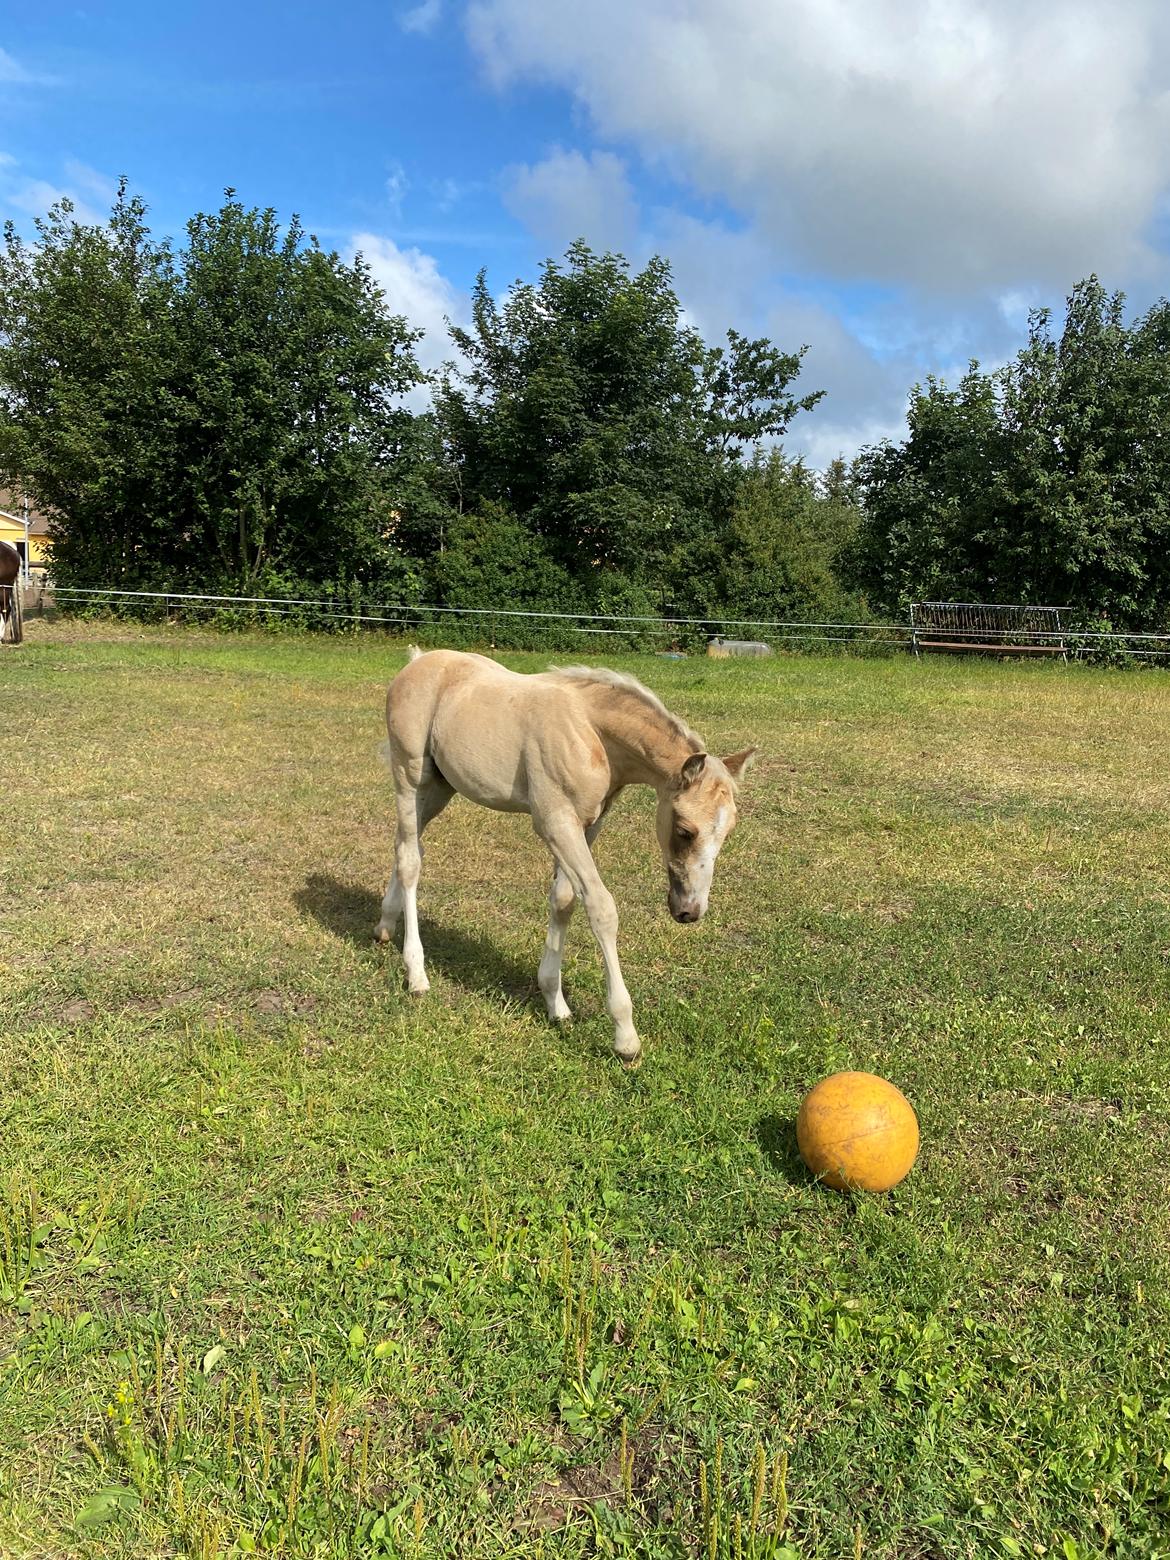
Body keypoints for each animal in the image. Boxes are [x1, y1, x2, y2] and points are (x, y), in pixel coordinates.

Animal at [377, 652, 761, 1067]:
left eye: (728, 831)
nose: (689, 911)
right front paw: (626, 1037)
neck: (590, 733)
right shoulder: (555, 822)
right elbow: (601, 907)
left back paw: (384, 925)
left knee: (407, 845)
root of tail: (417, 661)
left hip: (440, 787)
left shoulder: (588, 824)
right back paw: (416, 973)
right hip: (410, 776)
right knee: (411, 860)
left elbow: (563, 901)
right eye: (685, 830)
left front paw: (555, 1002)